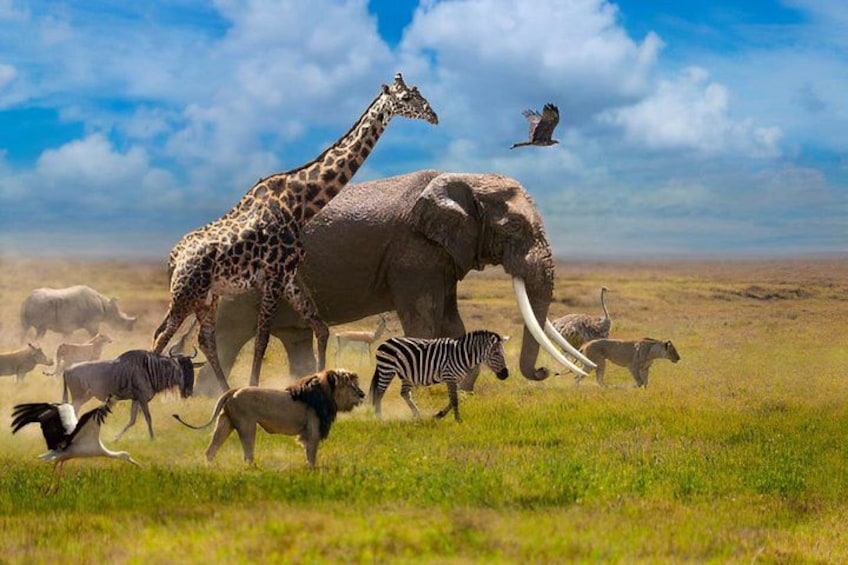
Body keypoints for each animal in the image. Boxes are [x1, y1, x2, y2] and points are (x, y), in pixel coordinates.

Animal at [173, 368, 365, 467]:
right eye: (350, 384)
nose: (362, 394)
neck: (325, 395)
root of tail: (234, 391)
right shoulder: (312, 431)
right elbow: (311, 455)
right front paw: (312, 471)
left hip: (225, 423)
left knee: (211, 451)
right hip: (247, 425)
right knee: (247, 455)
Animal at [195, 170, 591, 393]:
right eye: (515, 227)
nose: (543, 371)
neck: (464, 178)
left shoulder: (442, 256)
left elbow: (452, 322)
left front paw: (463, 390)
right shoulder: (413, 253)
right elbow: (425, 320)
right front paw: (431, 389)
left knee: (295, 341)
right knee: (227, 335)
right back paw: (208, 399)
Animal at [369, 330, 510, 422]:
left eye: (503, 353)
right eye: (496, 353)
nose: (505, 375)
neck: (462, 355)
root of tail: (385, 342)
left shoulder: (454, 379)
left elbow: (454, 399)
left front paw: (439, 415)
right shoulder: (450, 377)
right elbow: (455, 399)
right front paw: (458, 420)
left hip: (406, 375)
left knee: (404, 394)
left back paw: (418, 416)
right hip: (387, 369)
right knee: (379, 392)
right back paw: (379, 417)